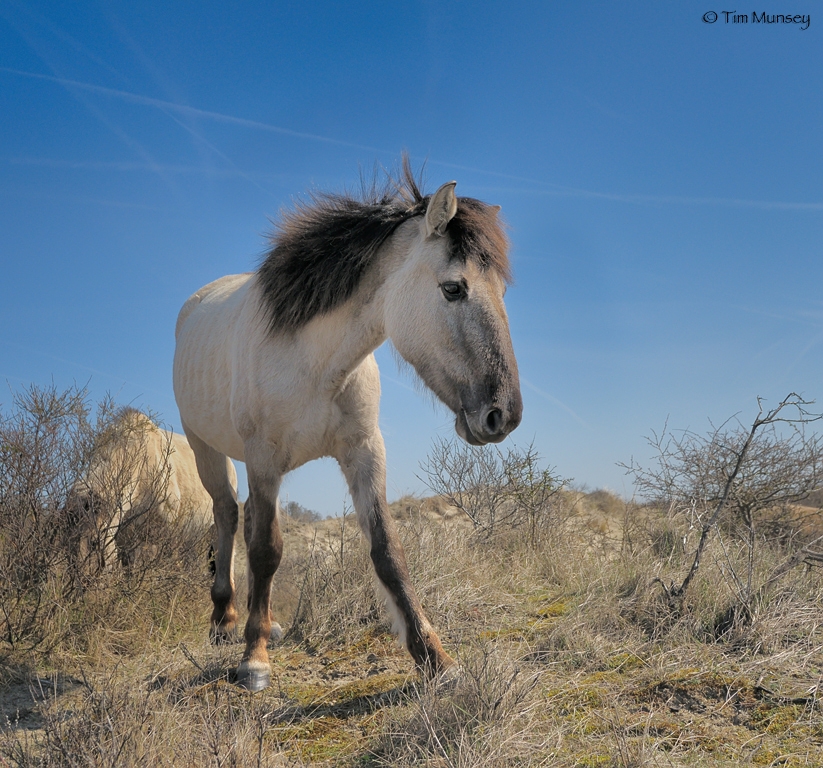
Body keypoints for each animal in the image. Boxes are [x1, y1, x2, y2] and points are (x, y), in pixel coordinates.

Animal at [173, 159, 520, 692]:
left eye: (502, 291)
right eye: (453, 288)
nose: (503, 414)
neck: (316, 362)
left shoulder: (364, 452)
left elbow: (388, 551)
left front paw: (434, 657)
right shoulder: (263, 458)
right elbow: (267, 549)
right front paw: (254, 659)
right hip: (204, 448)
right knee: (228, 515)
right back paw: (225, 621)